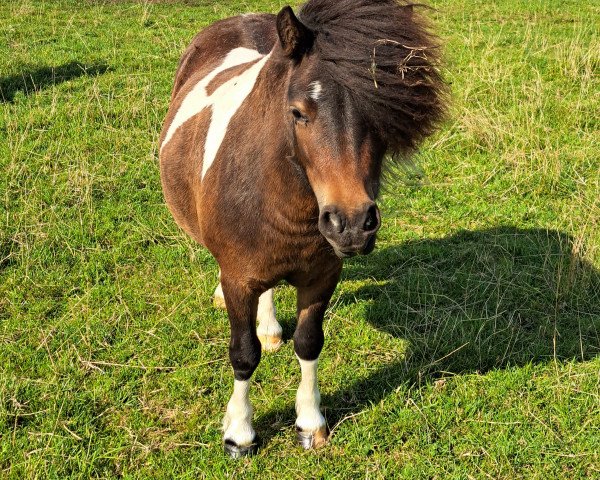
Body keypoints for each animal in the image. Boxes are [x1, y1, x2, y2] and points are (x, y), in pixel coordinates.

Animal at [159, 0, 446, 458]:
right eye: (297, 112)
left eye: (381, 112)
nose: (351, 224)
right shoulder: (240, 278)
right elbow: (243, 354)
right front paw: (239, 433)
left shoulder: (321, 276)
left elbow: (309, 342)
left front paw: (310, 423)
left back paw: (271, 328)